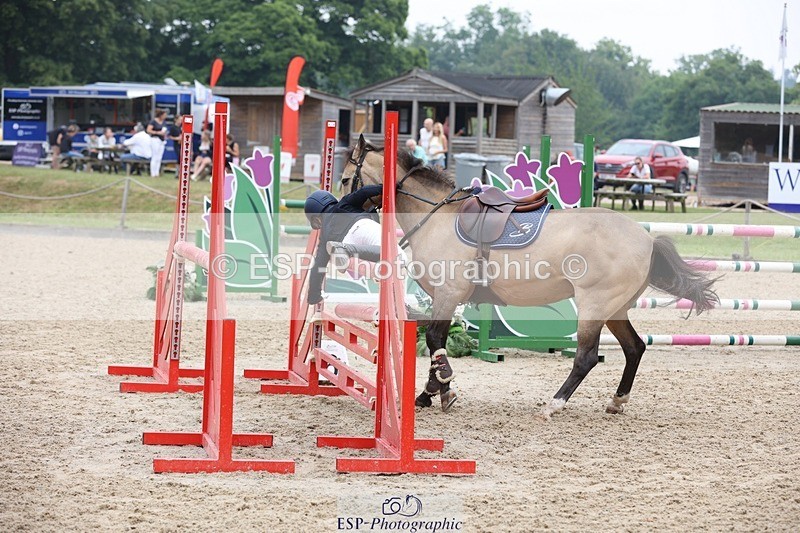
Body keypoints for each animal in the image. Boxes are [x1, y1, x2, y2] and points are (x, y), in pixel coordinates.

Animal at [341, 136, 718, 419]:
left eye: (346, 179)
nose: (341, 212)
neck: (437, 217)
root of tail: (646, 239)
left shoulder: (449, 295)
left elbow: (435, 340)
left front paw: (442, 388)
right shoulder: (444, 298)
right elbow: (433, 340)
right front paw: (431, 391)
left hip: (594, 306)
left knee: (586, 356)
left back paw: (555, 404)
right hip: (615, 309)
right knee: (634, 348)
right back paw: (616, 401)